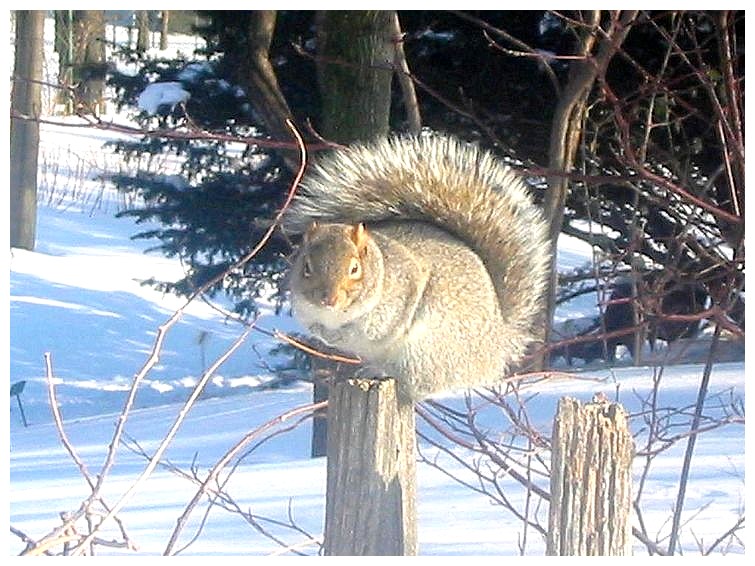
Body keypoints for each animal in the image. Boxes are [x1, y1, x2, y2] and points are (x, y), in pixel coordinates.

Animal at [284, 135, 548, 404]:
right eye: (306, 267)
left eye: (355, 268)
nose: (329, 299)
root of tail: (498, 343)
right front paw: (319, 332)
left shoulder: (397, 298)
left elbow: (371, 328)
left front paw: (340, 335)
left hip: (426, 353)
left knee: (421, 385)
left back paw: (380, 372)